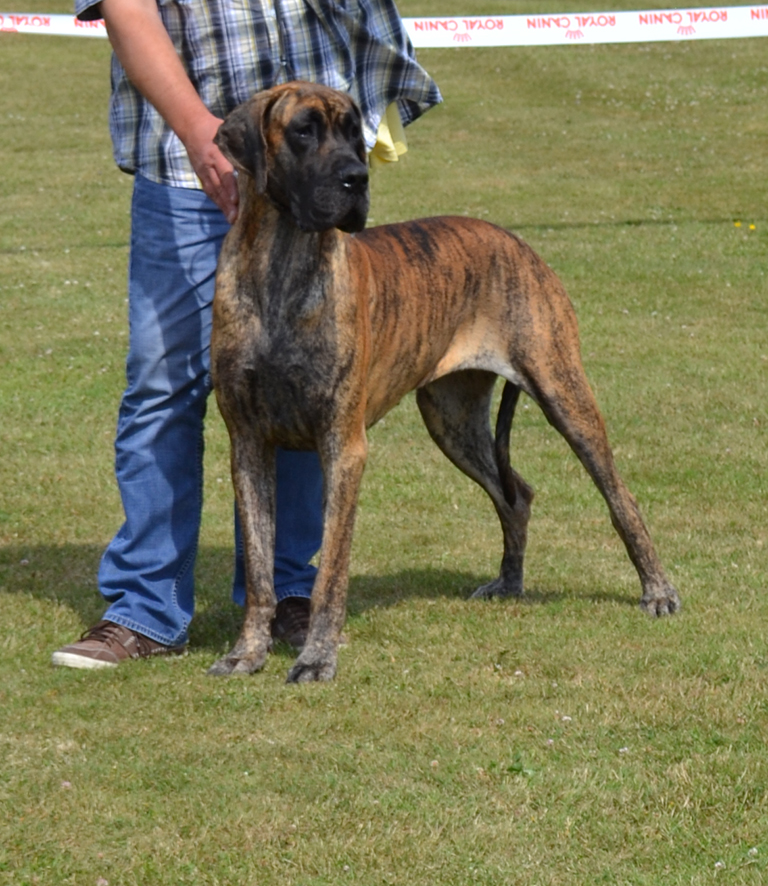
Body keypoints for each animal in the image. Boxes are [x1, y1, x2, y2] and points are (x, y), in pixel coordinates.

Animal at [208, 81, 680, 683]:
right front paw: (247, 652)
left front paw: (316, 657)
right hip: (453, 420)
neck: (282, 265)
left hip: (563, 391)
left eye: (354, 133)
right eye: (304, 130)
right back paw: (509, 582)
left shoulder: (343, 446)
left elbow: (331, 570)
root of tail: (516, 241)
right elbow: (260, 568)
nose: (357, 178)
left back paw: (657, 590)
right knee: (515, 494)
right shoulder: (247, 444)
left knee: (620, 497)